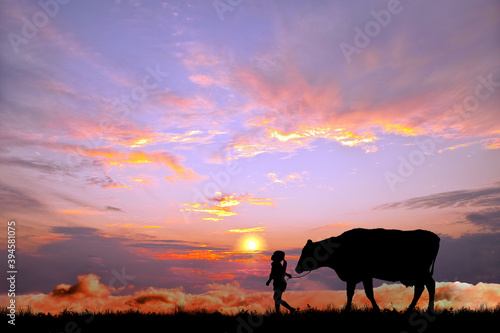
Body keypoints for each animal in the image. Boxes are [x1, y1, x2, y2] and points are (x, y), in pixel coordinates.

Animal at [294, 228, 440, 312]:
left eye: (306, 252)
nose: (297, 268)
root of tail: (434, 236)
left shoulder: (364, 276)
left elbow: (368, 293)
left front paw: (376, 309)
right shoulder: (353, 278)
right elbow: (350, 293)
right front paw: (348, 310)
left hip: (421, 272)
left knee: (426, 287)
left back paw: (422, 310)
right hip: (421, 273)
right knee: (425, 287)